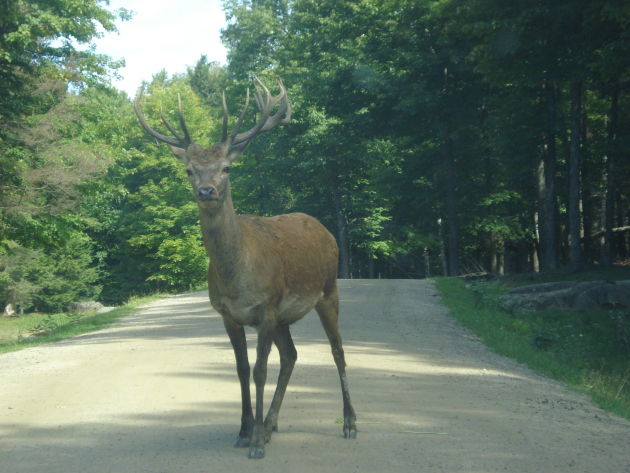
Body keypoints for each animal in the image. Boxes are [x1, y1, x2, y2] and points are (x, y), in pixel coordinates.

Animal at [135, 76, 358, 458]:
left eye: (227, 167)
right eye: (189, 170)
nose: (206, 191)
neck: (237, 280)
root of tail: (324, 229)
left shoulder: (266, 307)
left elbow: (259, 371)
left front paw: (254, 443)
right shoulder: (228, 314)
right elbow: (240, 369)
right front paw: (243, 430)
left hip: (328, 289)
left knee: (337, 350)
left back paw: (348, 423)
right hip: (285, 316)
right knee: (292, 355)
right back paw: (270, 424)